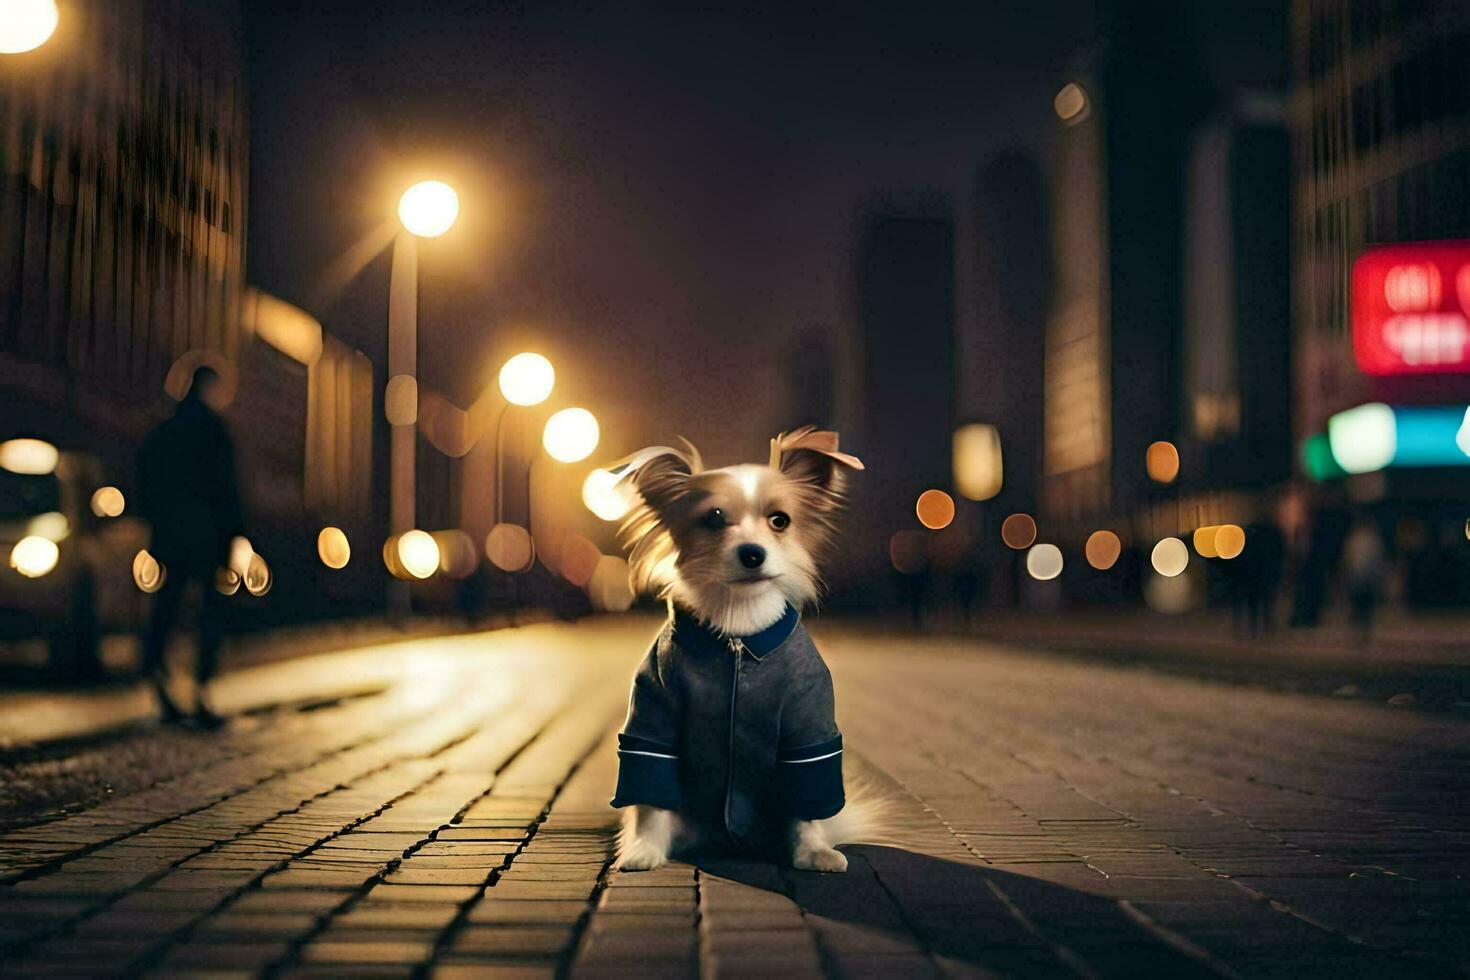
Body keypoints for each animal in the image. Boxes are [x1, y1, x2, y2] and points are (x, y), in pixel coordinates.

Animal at [611, 429, 870, 875]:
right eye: (713, 518)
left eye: (780, 521)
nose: (752, 552)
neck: (738, 633)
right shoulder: (652, 721)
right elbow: (650, 802)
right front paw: (644, 849)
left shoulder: (808, 727)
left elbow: (806, 809)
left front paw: (813, 853)